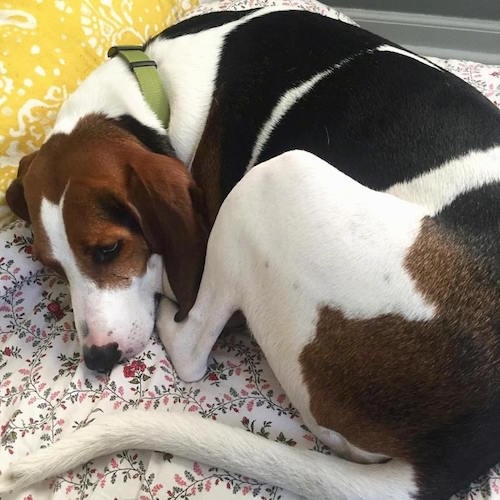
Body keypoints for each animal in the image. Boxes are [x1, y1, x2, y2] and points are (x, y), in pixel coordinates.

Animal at [0, 149, 500, 500]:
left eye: (108, 250)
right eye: (52, 267)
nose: (98, 359)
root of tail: (465, 442)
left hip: (276, 179)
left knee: (192, 348)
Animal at [4, 3, 500, 374]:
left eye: (108, 250)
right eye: (52, 267)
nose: (97, 359)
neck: (153, 87)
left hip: (271, 182)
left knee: (190, 347)